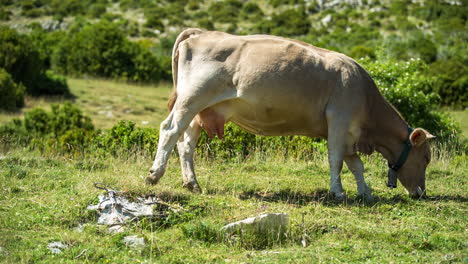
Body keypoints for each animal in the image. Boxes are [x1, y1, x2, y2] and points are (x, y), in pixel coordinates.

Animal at [146, 27, 436, 199]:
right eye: (426, 157)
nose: (421, 192)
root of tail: (200, 32)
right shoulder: (339, 120)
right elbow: (336, 160)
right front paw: (338, 192)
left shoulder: (349, 133)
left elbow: (356, 165)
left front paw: (365, 192)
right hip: (191, 98)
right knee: (170, 130)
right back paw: (155, 174)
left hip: (203, 109)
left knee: (186, 143)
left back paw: (192, 184)